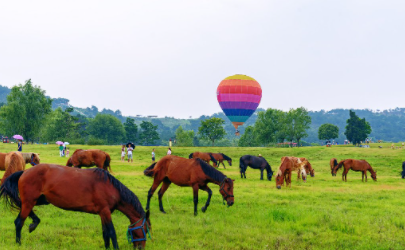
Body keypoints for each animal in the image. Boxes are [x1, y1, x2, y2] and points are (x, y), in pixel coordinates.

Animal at [0, 165, 150, 249]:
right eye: (145, 229)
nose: (141, 247)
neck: (110, 187)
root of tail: (24, 172)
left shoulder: (102, 213)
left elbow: (105, 234)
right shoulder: (106, 212)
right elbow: (112, 233)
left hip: (38, 200)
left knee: (21, 207)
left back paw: (34, 222)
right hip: (30, 201)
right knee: (19, 222)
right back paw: (19, 242)